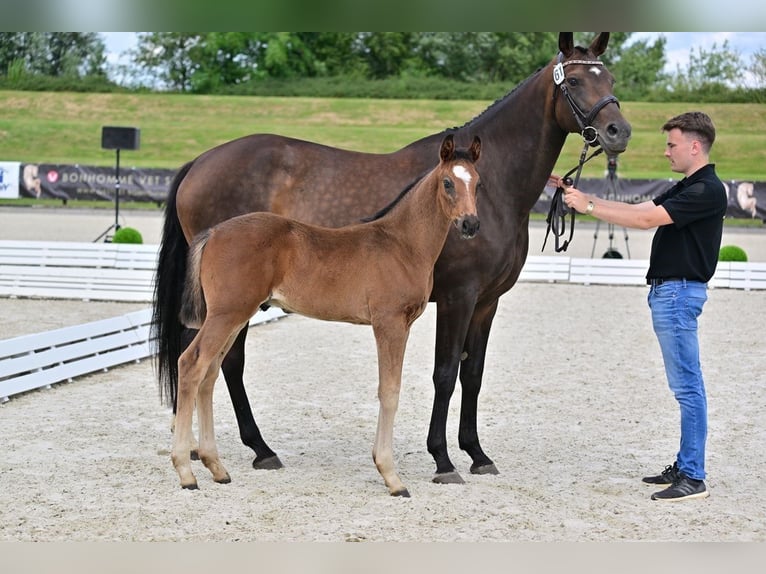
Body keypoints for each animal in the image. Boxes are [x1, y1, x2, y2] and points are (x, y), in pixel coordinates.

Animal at [174, 136, 480, 500]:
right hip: (227, 314)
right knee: (191, 364)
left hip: (233, 316)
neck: (402, 244)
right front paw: (392, 477)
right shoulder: (390, 323)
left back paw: (217, 467)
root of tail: (214, 233)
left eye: (478, 183)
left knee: (208, 374)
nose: (470, 224)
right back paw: (186, 471)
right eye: (448, 182)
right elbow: (390, 391)